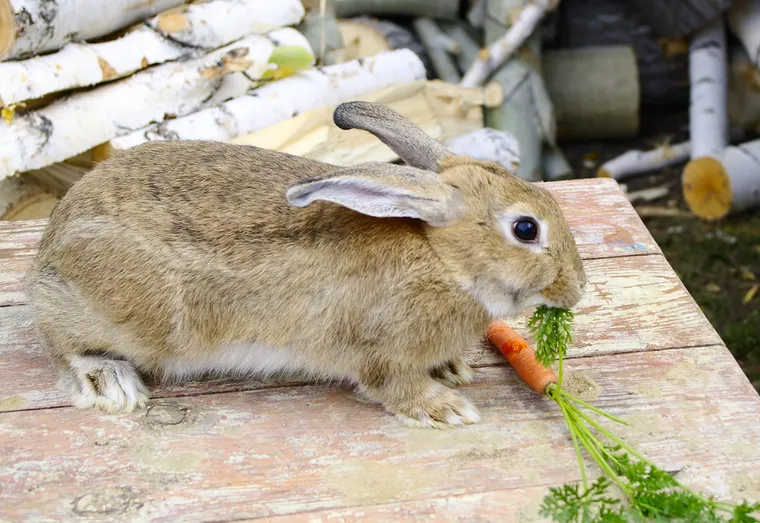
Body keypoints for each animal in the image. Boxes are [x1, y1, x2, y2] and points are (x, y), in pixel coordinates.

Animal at [24, 101, 587, 429]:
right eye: (526, 229)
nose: (576, 289)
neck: (442, 259)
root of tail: (48, 250)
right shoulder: (379, 351)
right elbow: (393, 386)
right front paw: (447, 409)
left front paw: (451, 369)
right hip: (127, 314)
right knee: (59, 339)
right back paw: (112, 383)